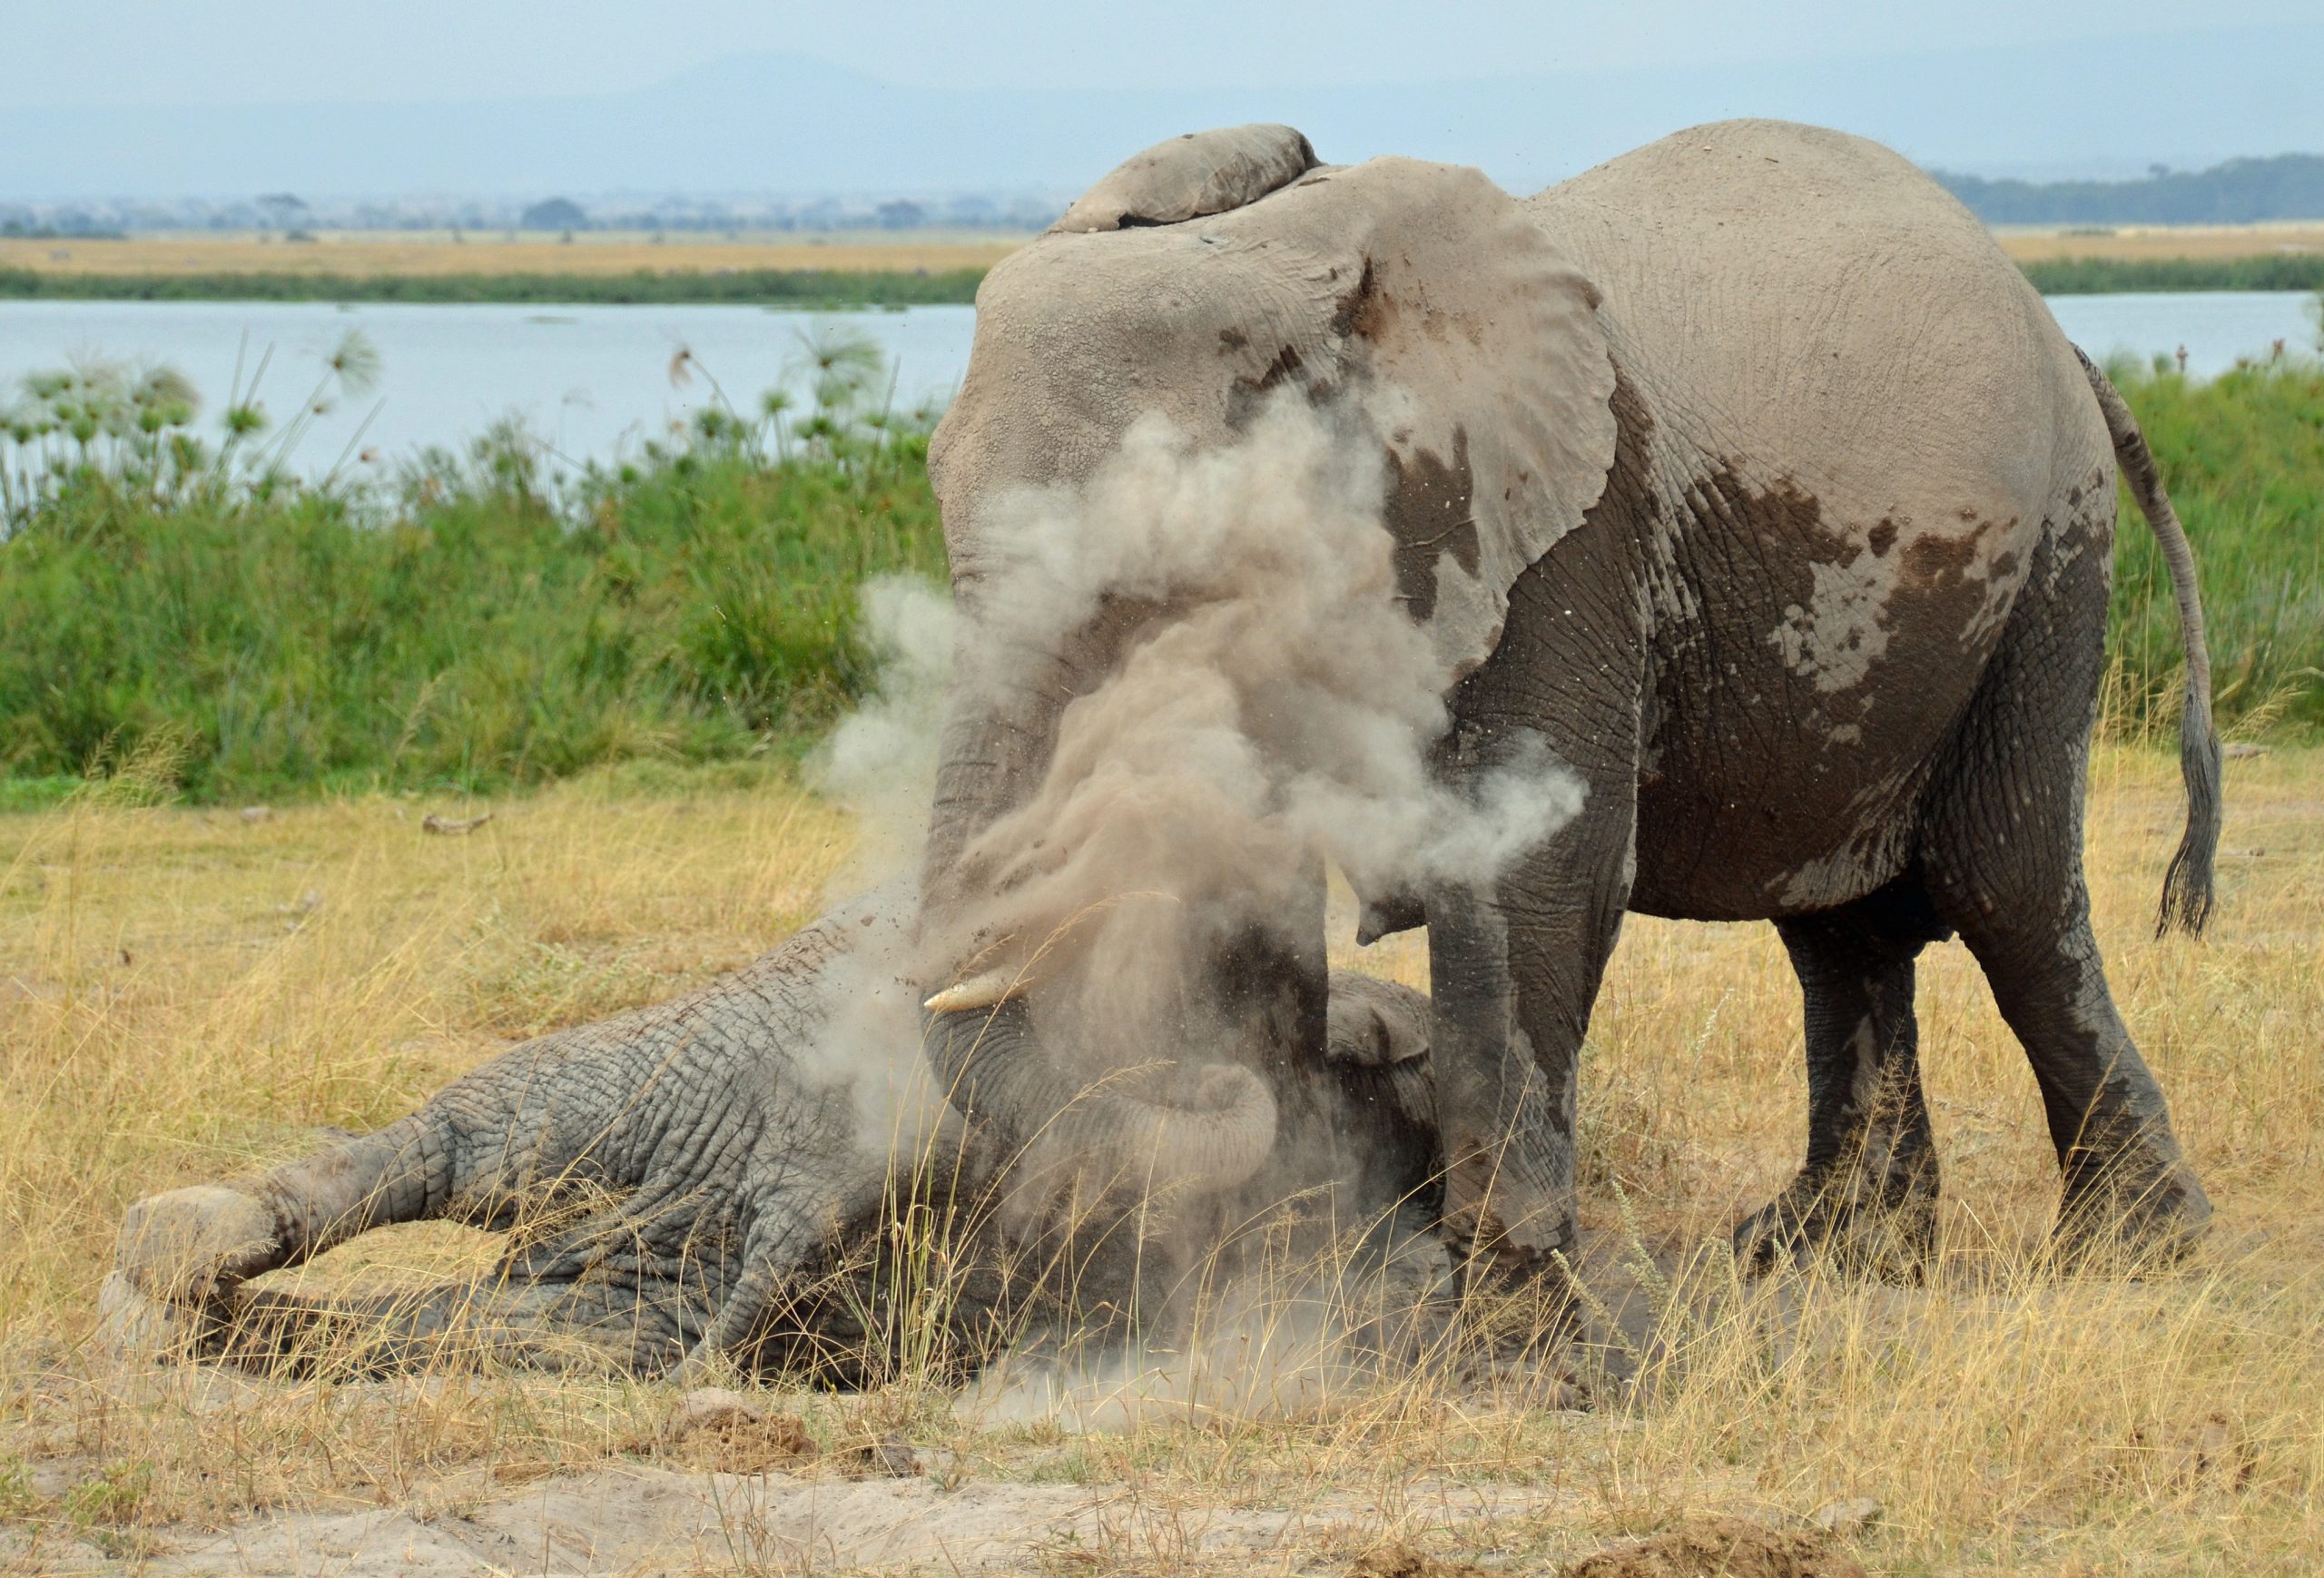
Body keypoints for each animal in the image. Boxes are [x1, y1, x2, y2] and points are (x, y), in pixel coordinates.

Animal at [912, 117, 2219, 1295]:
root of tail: (2060, 331)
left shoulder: (1563, 541)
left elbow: (1531, 870)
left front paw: (1508, 1307)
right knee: (1838, 926)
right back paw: (1827, 1252)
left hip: (2051, 565)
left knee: (2008, 892)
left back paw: (2137, 1256)